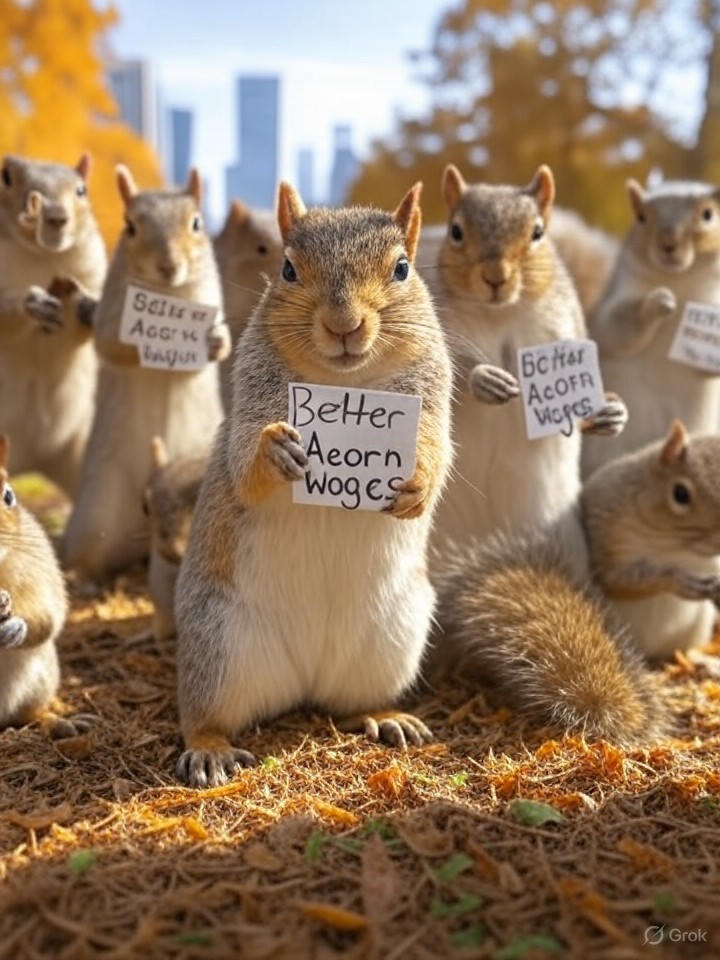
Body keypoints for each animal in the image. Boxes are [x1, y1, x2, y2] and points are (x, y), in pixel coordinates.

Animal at [0, 153, 107, 496]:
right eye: (7, 178)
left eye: (82, 189)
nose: (56, 217)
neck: (44, 257)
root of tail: (33, 463)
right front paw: (34, 302)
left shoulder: (93, 269)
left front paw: (90, 307)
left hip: (78, 453)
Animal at [0, 435, 89, 736]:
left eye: (8, 496)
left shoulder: (38, 572)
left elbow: (49, 617)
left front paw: (16, 626)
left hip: (39, 675)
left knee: (25, 714)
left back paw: (60, 722)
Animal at [62, 166, 231, 581]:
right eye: (130, 227)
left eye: (197, 223)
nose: (168, 267)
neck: (167, 295)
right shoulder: (111, 311)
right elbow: (110, 344)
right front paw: (143, 346)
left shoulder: (213, 300)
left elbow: (227, 342)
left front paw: (215, 343)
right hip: (97, 513)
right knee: (88, 554)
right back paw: (82, 578)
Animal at [423, 163, 626, 566]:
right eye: (456, 231)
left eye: (537, 233)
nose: (496, 278)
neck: (500, 314)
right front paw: (484, 379)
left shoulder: (566, 327)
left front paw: (610, 410)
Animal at [582, 178, 720, 480]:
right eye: (641, 217)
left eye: (708, 214)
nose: (668, 244)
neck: (680, 281)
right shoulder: (615, 300)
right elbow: (618, 327)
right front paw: (657, 302)